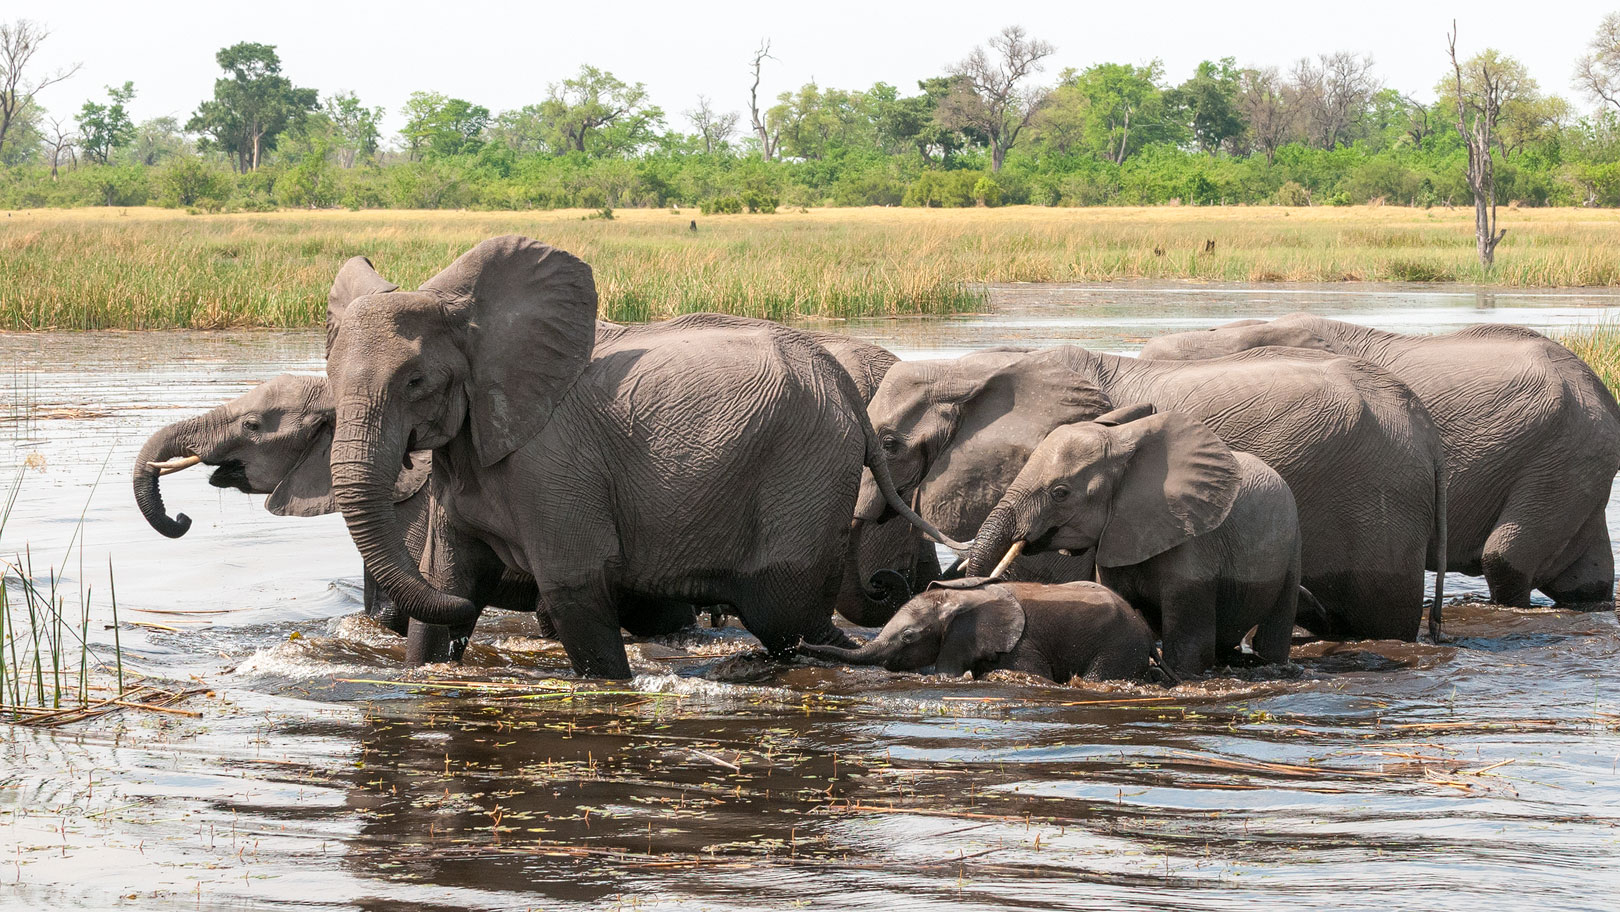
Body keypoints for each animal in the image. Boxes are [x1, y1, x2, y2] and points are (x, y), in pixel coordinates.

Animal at [322, 234, 965, 677]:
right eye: (329, 377)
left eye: (415, 382)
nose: (376, 613)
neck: (469, 317)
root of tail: (846, 389)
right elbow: (446, 587)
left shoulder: (554, 463)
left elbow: (575, 590)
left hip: (805, 472)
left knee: (789, 616)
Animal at [959, 406, 1302, 677]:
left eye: (1060, 493)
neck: (1124, 446)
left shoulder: (1193, 539)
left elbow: (1191, 647)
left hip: (1292, 544)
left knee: (1275, 630)